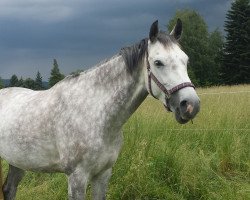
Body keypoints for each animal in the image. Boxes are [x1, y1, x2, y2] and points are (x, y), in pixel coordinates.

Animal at [0, 19, 199, 200]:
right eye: (158, 62)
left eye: (186, 60)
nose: (191, 105)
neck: (95, 113)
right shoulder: (77, 177)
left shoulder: (103, 173)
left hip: (17, 161)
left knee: (9, 189)